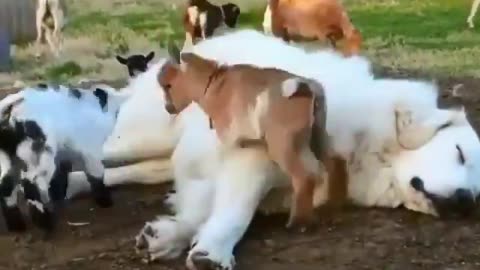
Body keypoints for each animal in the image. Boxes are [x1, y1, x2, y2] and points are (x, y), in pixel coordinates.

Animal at [158, 42, 330, 230]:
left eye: (168, 85)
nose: (168, 108)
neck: (214, 84)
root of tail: (306, 86)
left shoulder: (227, 138)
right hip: (310, 140)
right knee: (318, 171)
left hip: (282, 144)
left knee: (303, 176)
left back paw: (298, 222)